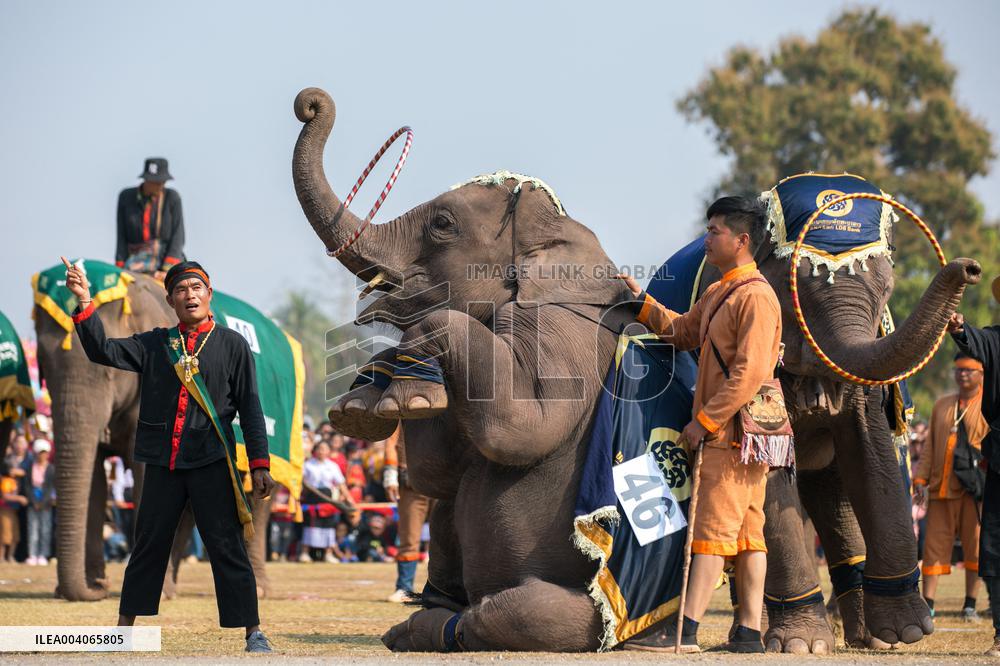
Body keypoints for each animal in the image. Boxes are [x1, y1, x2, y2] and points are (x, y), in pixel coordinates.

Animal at [664, 230, 980, 652]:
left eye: (887, 289)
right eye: (793, 291)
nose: (971, 267)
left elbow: (870, 451)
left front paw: (904, 634)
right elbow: (771, 468)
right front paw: (802, 645)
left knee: (833, 496)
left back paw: (867, 638)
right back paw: (758, 634)